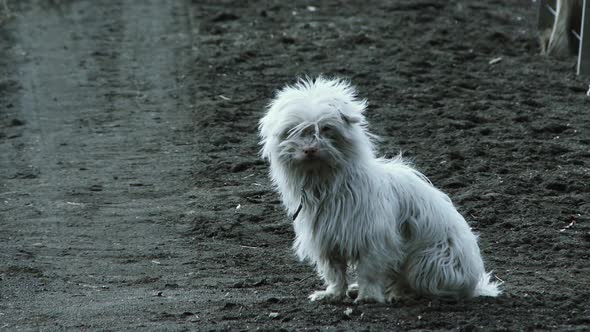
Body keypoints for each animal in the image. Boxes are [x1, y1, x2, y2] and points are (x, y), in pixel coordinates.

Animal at [260, 76, 504, 302]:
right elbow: (335, 272)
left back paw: (400, 294)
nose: (310, 150)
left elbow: (369, 270)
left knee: (424, 285)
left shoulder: (374, 240)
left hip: (428, 260)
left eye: (326, 129)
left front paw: (368, 296)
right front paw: (333, 293)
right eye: (294, 131)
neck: (325, 181)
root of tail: (474, 284)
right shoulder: (326, 242)